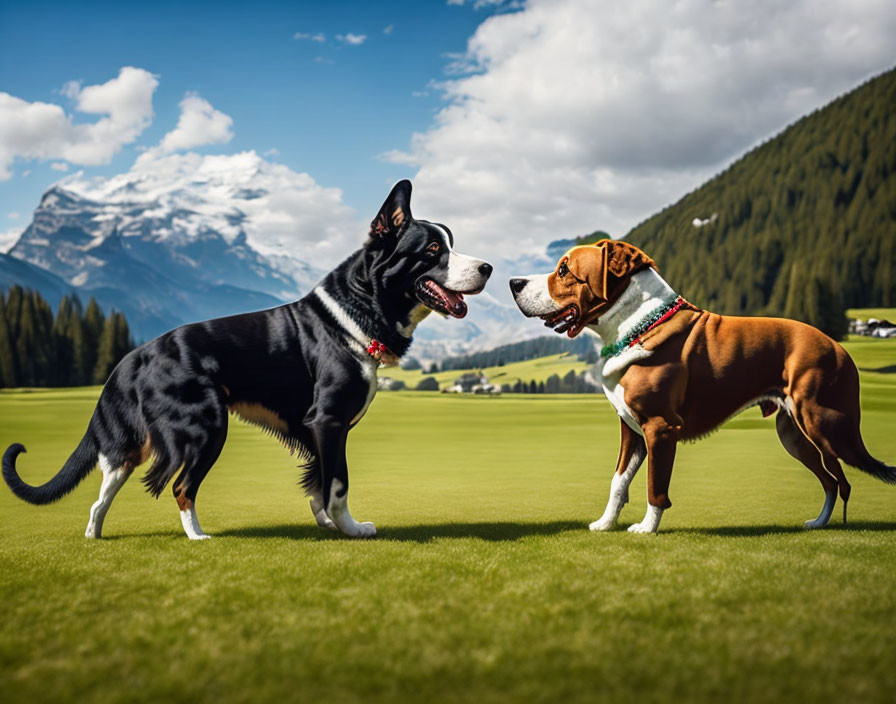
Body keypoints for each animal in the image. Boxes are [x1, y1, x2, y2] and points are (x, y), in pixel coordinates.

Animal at [3, 180, 490, 540]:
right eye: (431, 251)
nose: (486, 267)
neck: (357, 309)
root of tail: (135, 356)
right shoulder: (329, 420)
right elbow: (337, 483)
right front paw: (351, 528)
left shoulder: (319, 429)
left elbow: (319, 482)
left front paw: (326, 524)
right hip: (205, 425)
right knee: (180, 485)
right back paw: (197, 535)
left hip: (135, 442)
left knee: (104, 489)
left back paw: (95, 534)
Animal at [512, 242, 896, 532]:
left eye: (564, 270)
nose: (514, 282)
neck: (637, 324)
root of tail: (839, 347)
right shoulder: (631, 430)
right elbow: (618, 481)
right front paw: (605, 524)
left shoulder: (660, 428)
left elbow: (655, 485)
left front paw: (647, 529)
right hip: (794, 435)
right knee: (831, 480)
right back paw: (818, 523)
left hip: (825, 427)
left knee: (843, 480)